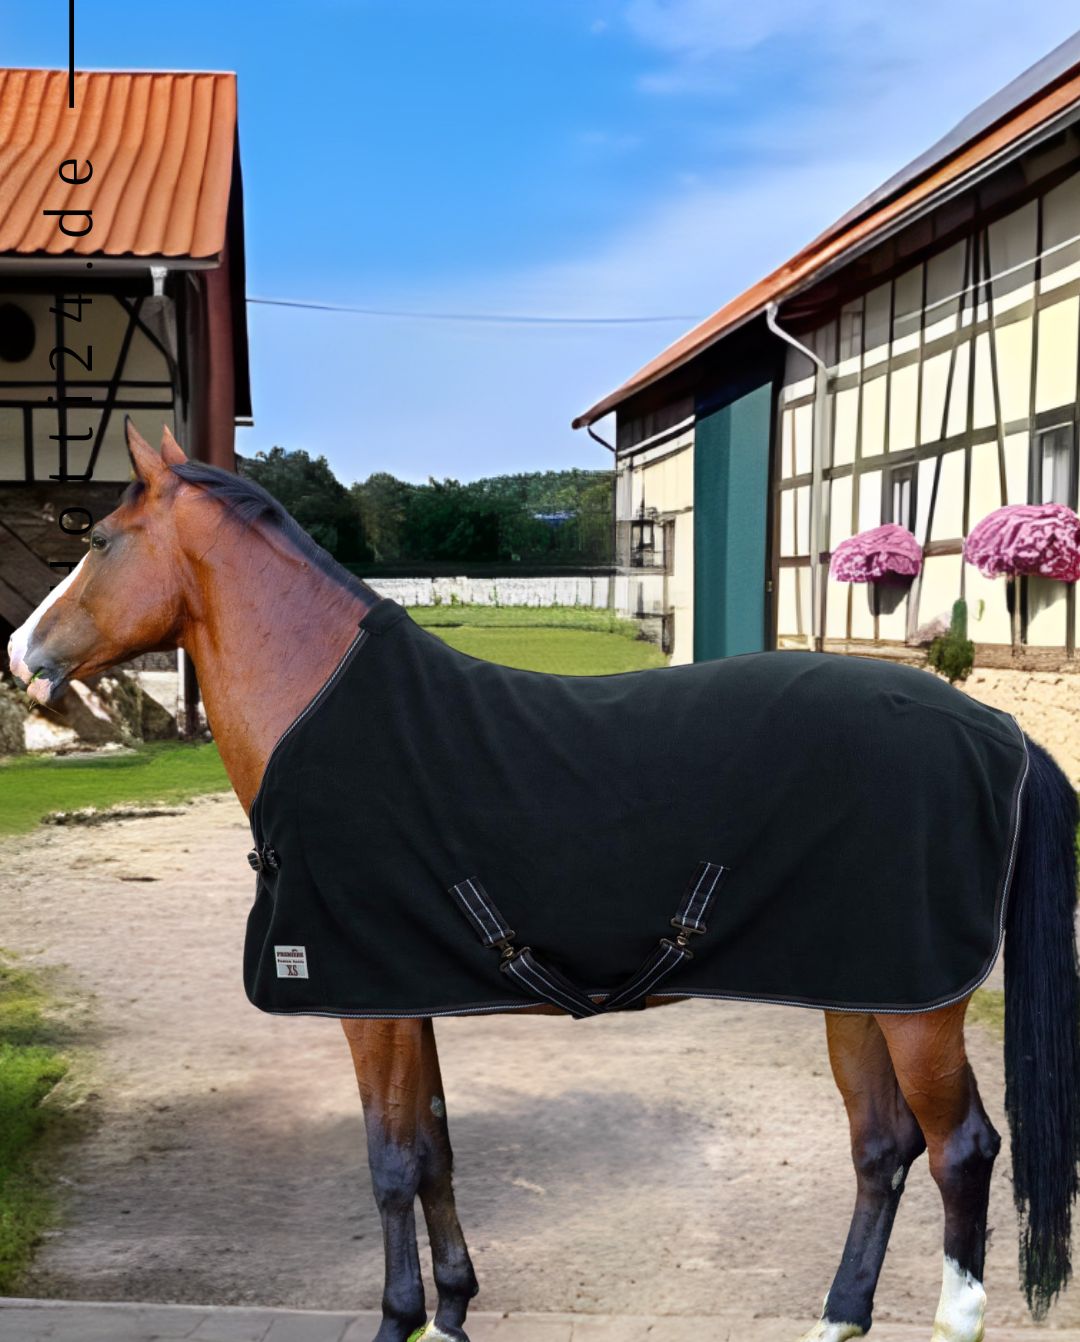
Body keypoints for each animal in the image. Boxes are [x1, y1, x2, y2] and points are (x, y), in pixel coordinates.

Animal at [6, 419, 1080, 1342]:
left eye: (97, 539)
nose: (22, 655)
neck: (327, 718)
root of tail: (995, 730)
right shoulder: (409, 995)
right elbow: (435, 1147)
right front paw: (452, 1309)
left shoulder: (368, 1008)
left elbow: (390, 1161)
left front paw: (399, 1319)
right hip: (861, 991)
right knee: (881, 1147)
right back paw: (838, 1315)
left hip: (919, 1011)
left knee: (961, 1149)